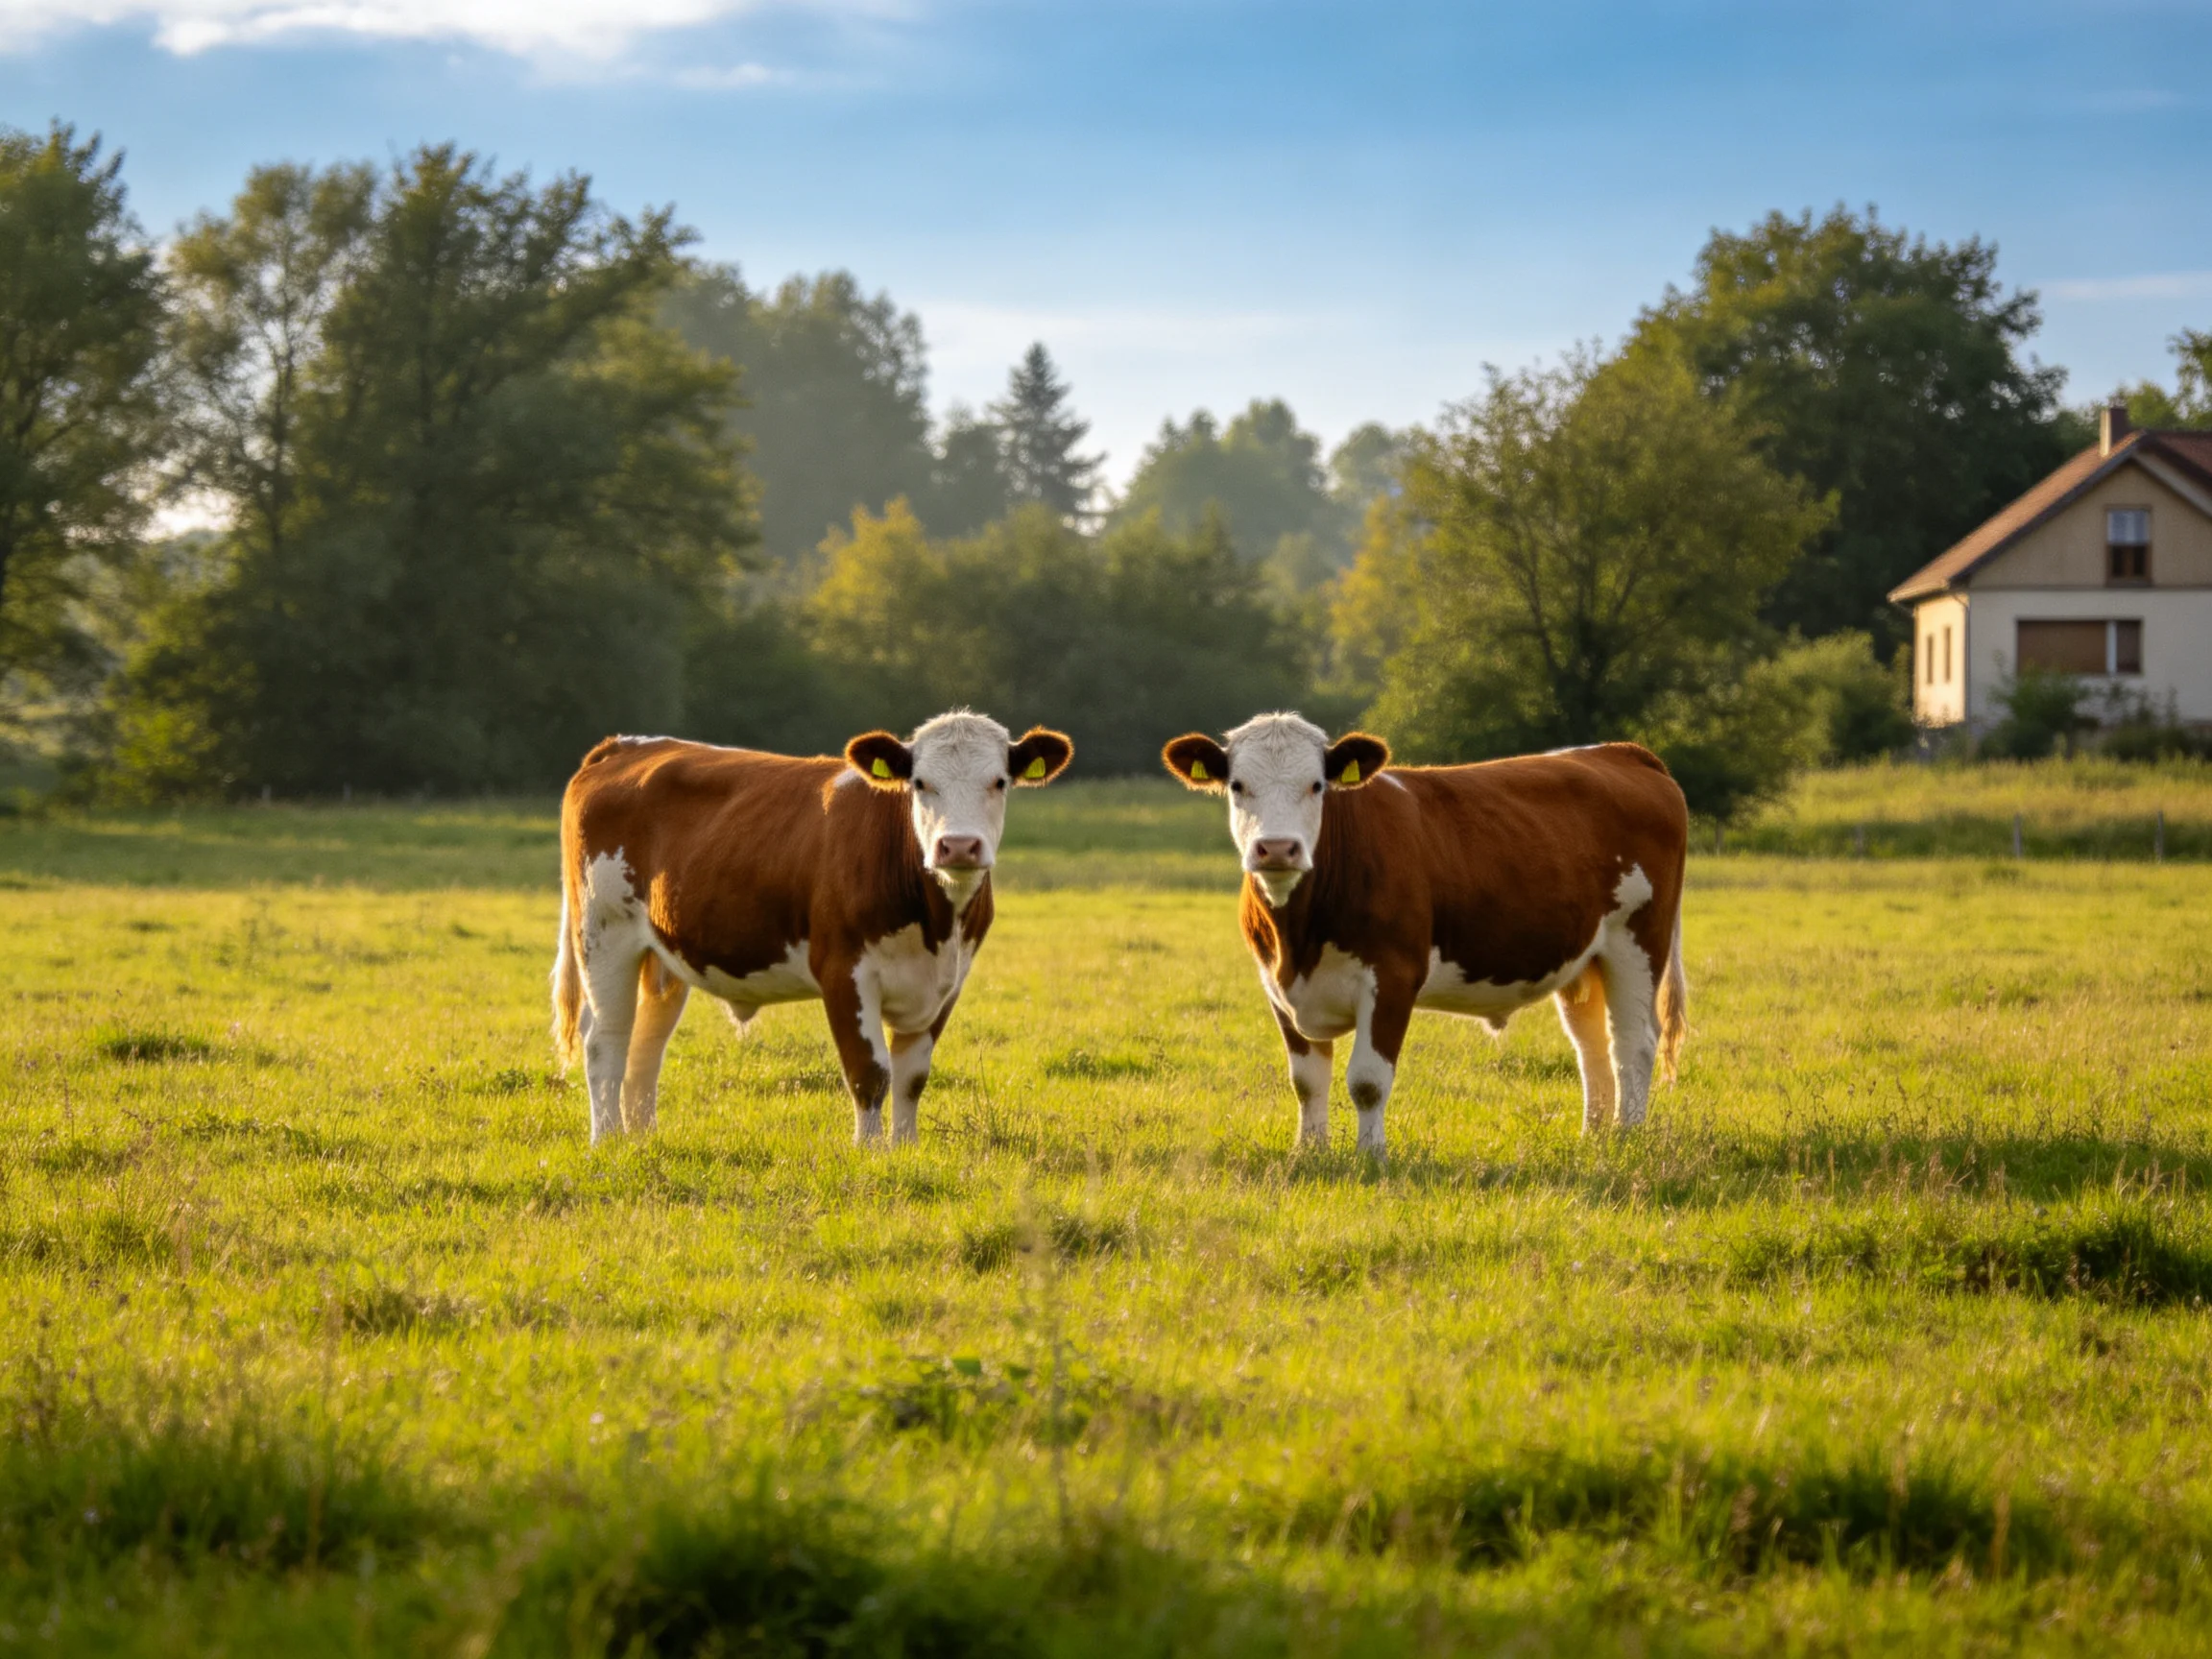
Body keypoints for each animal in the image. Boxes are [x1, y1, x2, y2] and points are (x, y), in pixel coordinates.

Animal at [552, 712, 1073, 1146]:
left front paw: (906, 1150)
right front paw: (870, 1153)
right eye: (920, 783)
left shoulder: (948, 982)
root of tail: (624, 745)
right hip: (603, 935)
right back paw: (608, 1141)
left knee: (646, 1047)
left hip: (663, 956)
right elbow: (870, 1072)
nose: (959, 846)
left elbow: (911, 1078)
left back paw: (642, 1140)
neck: (935, 924)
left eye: (999, 782)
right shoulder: (844, 971)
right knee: (606, 1041)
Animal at [1161, 713, 1687, 1153]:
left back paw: (1626, 1137)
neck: (1299, 939)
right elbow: (1307, 1080)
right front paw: (1308, 1152)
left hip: (1637, 941)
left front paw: (1371, 1157)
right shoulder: (1277, 986)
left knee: (1633, 1042)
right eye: (1237, 785)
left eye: (1316, 786)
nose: (1276, 848)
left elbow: (1367, 1080)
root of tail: (1620, 751)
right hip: (1584, 957)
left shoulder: (1393, 976)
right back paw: (1593, 1137)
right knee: (1591, 1044)